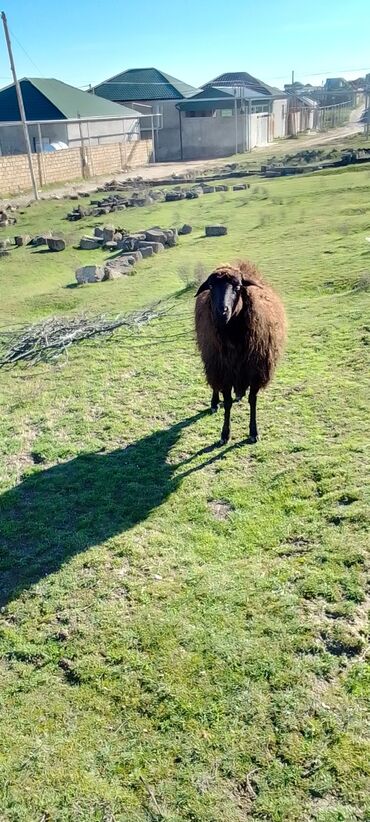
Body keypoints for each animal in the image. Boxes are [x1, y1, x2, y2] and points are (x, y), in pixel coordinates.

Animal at [195, 262, 288, 444]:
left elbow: (253, 401)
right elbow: (227, 402)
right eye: (211, 286)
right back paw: (214, 403)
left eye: (238, 287)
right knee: (214, 384)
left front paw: (253, 432)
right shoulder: (224, 371)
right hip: (212, 361)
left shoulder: (256, 371)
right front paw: (225, 434)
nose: (221, 312)